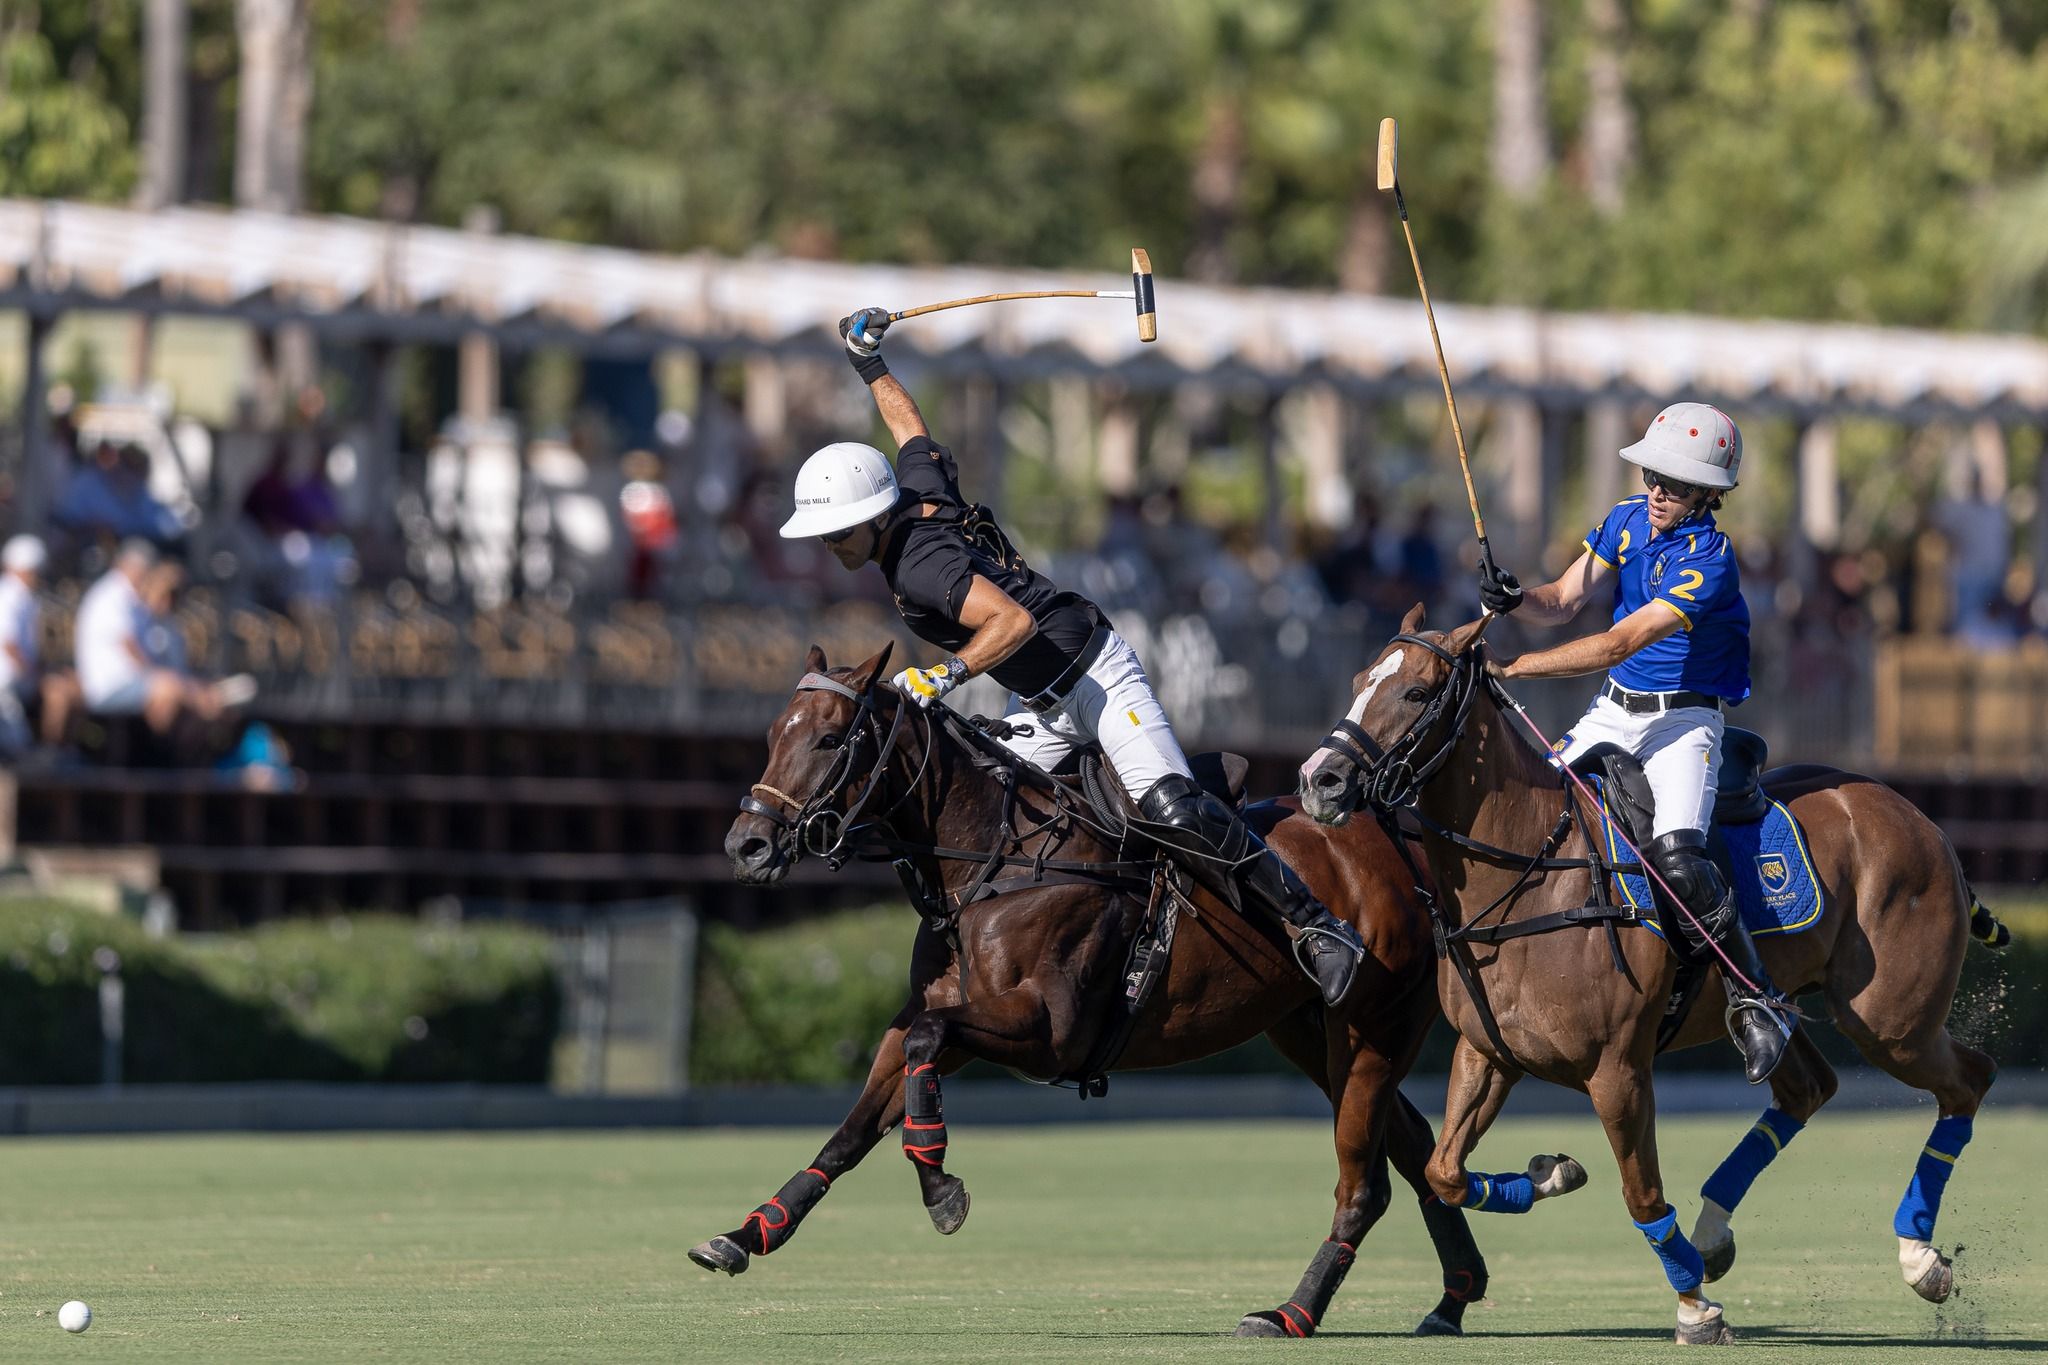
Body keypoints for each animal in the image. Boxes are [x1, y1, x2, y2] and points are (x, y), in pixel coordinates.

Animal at [692, 646, 1540, 1342]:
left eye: (831, 740)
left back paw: (1292, 1311)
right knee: (1415, 1144)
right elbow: (856, 1122)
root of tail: (1408, 844)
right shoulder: (922, 1020)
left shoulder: (1048, 1032)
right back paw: (1455, 1292)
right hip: (1313, 1032)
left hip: (1370, 1027)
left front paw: (941, 1190)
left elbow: (928, 1051)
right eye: (773, 733)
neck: (990, 860)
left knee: (1367, 1182)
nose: (746, 844)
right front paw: (747, 1232)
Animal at [1294, 613, 1998, 1350]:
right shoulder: (1487, 1053)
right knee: (1807, 1084)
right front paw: (1550, 1174)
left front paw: (1694, 1307)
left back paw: (1919, 1256)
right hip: (1795, 1009)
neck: (1530, 875)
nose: (1320, 781)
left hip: (1890, 1021)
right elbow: (1445, 1170)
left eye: (1416, 692)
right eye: (1359, 680)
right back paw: (1715, 1231)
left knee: (1968, 1080)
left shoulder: (1619, 1069)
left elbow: (1642, 1195)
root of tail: (1916, 814)